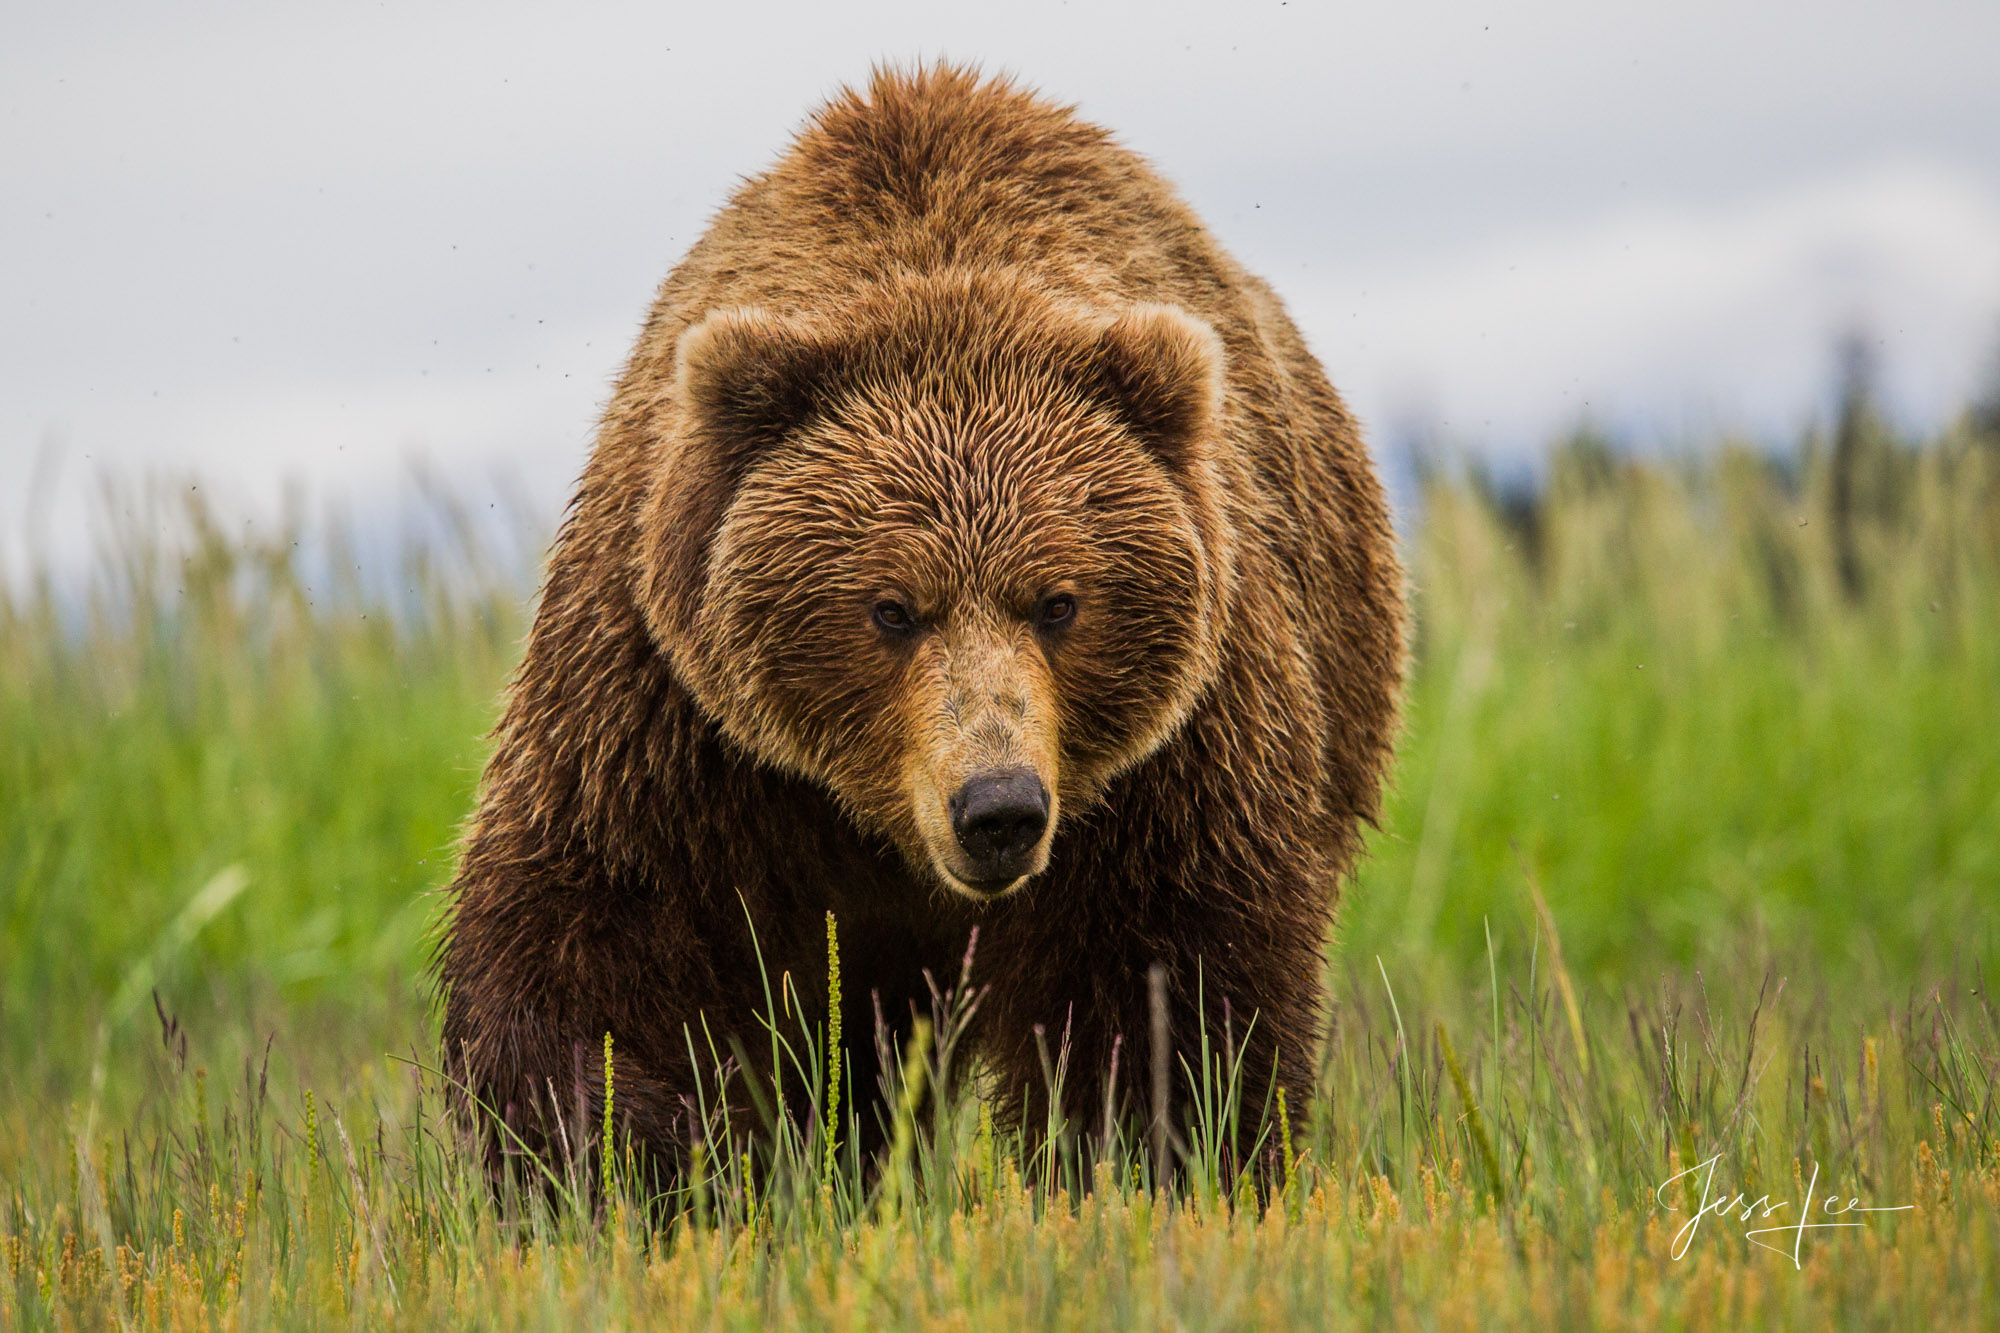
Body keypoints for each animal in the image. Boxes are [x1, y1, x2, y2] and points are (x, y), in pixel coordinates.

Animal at [438, 65, 1408, 1184]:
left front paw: (1150, 1163)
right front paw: (635, 1159)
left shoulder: (1180, 741)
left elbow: (1166, 985)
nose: (997, 806)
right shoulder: (672, 707)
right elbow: (594, 929)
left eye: (1059, 600)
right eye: (889, 607)